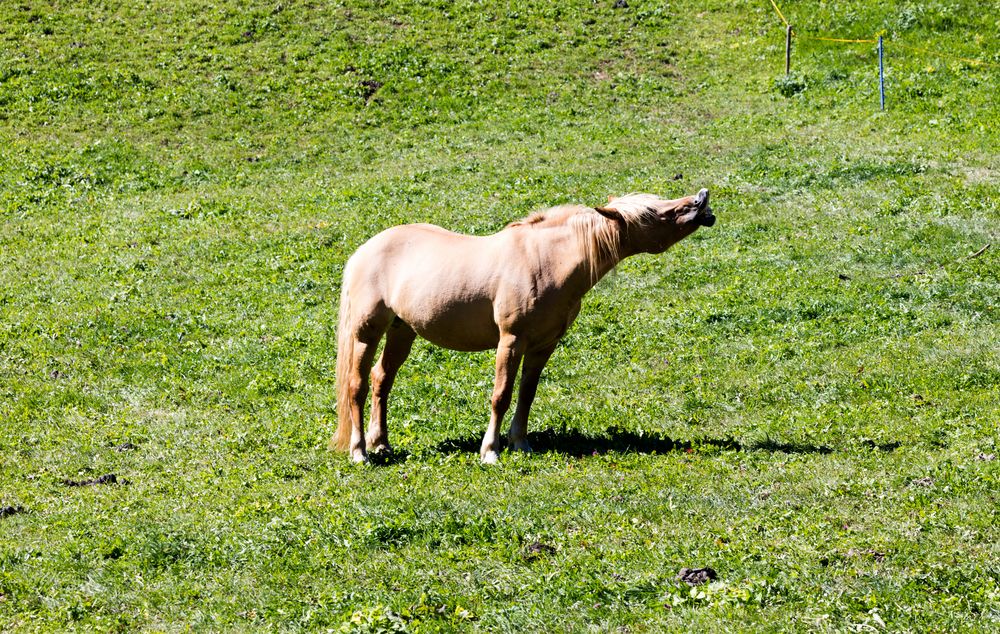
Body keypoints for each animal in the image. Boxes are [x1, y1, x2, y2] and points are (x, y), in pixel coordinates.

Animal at [332, 185, 716, 462]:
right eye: (653, 212)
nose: (702, 200)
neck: (547, 261)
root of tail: (364, 250)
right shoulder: (511, 341)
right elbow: (501, 395)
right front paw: (490, 451)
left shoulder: (544, 346)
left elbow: (527, 395)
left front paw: (520, 443)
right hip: (366, 333)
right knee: (357, 385)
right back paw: (360, 452)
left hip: (403, 331)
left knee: (382, 380)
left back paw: (381, 443)